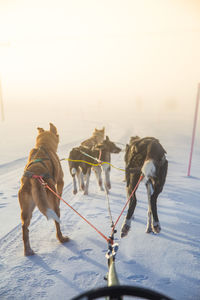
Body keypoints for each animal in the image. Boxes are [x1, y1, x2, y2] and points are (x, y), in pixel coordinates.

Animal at [18, 123, 69, 254]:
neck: (43, 146)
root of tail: (35, 176)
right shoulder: (60, 181)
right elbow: (60, 194)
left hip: (26, 210)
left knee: (25, 228)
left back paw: (28, 251)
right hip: (52, 204)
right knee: (57, 224)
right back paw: (62, 238)